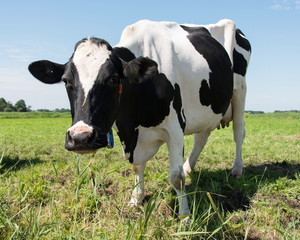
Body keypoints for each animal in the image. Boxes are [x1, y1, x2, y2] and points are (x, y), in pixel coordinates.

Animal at [29, 19, 252, 218]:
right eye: (66, 81)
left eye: (113, 79)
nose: (80, 138)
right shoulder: (131, 134)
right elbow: (137, 166)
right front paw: (136, 199)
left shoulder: (175, 128)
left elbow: (176, 177)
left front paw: (185, 215)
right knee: (202, 137)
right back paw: (190, 167)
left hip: (240, 90)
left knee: (239, 131)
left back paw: (237, 169)